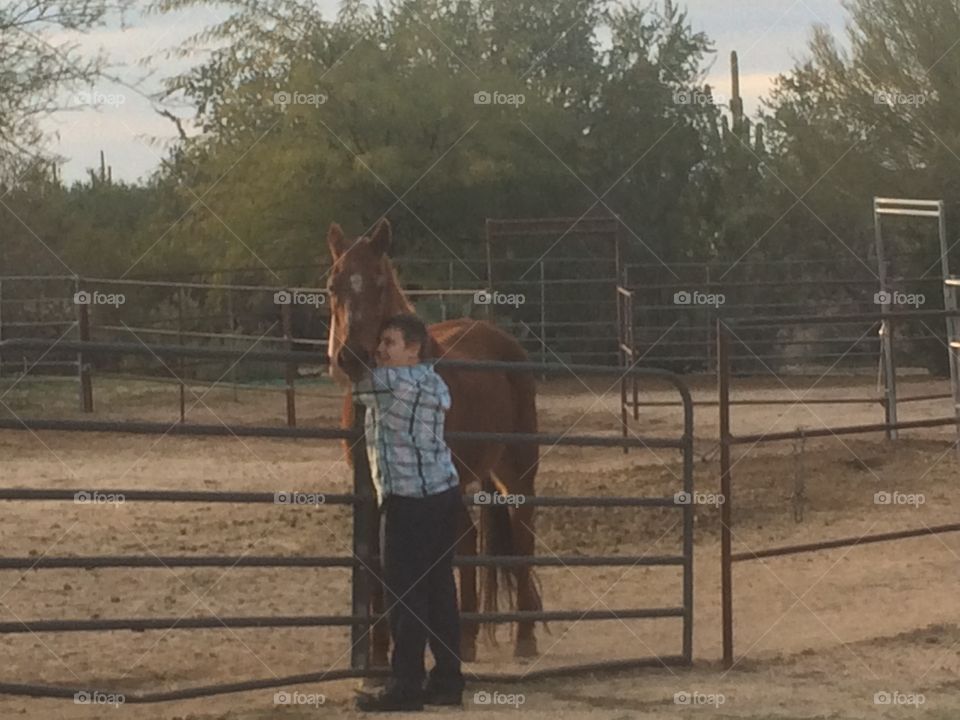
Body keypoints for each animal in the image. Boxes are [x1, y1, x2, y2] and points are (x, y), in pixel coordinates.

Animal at [325, 217, 542, 667]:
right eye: (333, 284)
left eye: (378, 282)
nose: (351, 357)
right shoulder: (372, 488)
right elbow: (376, 562)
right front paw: (378, 652)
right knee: (470, 539)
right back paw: (469, 638)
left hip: (516, 471)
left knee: (522, 534)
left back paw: (524, 638)